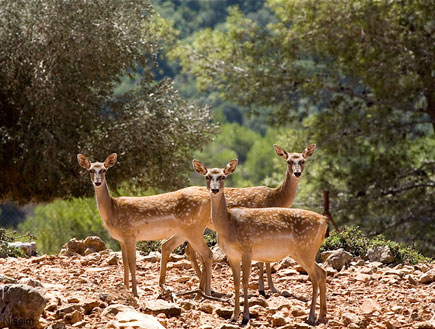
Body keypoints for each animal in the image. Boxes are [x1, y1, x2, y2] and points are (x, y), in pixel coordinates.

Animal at [79, 152, 215, 296]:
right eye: (90, 170)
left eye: (104, 170)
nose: (97, 182)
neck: (112, 211)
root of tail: (208, 200)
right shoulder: (121, 238)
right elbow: (124, 262)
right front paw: (125, 288)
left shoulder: (130, 235)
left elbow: (132, 262)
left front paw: (134, 292)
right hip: (188, 231)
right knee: (193, 252)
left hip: (193, 229)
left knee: (207, 254)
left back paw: (207, 292)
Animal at [194, 160, 328, 326]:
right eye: (207, 176)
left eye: (223, 176)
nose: (214, 189)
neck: (227, 224)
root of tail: (324, 222)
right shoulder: (232, 255)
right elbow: (236, 283)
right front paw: (234, 316)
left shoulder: (247, 250)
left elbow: (245, 282)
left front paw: (245, 317)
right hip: (304, 251)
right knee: (322, 272)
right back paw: (322, 315)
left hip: (306, 249)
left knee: (315, 276)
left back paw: (311, 317)